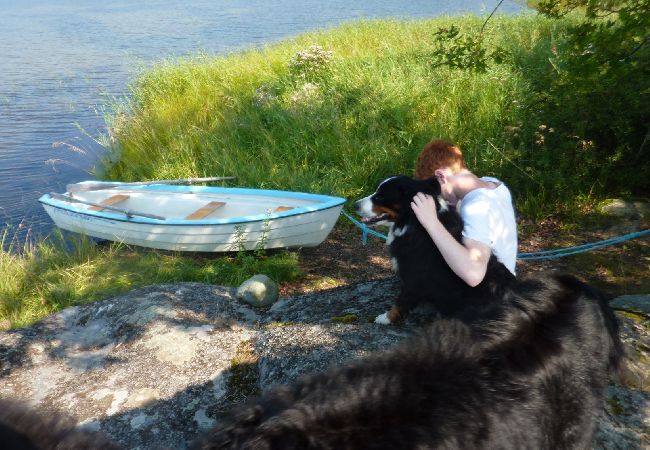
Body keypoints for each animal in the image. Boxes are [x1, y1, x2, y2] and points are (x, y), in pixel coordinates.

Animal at [354, 175, 512, 324]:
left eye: (380, 196)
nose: (355, 205)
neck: (413, 222)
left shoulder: (413, 274)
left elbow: (401, 301)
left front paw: (386, 318)